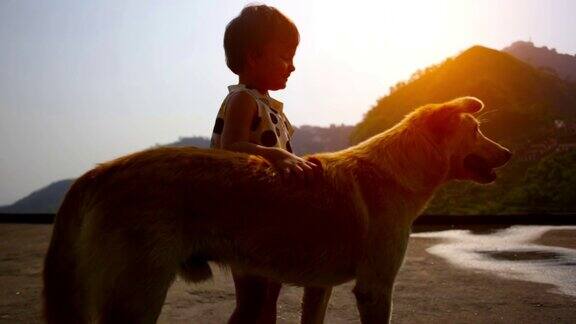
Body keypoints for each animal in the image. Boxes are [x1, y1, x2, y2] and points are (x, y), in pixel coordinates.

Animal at [44, 97, 508, 322]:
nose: (508, 153)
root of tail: (100, 170)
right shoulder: (375, 288)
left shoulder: (319, 288)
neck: (396, 170)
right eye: (476, 130)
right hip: (138, 293)